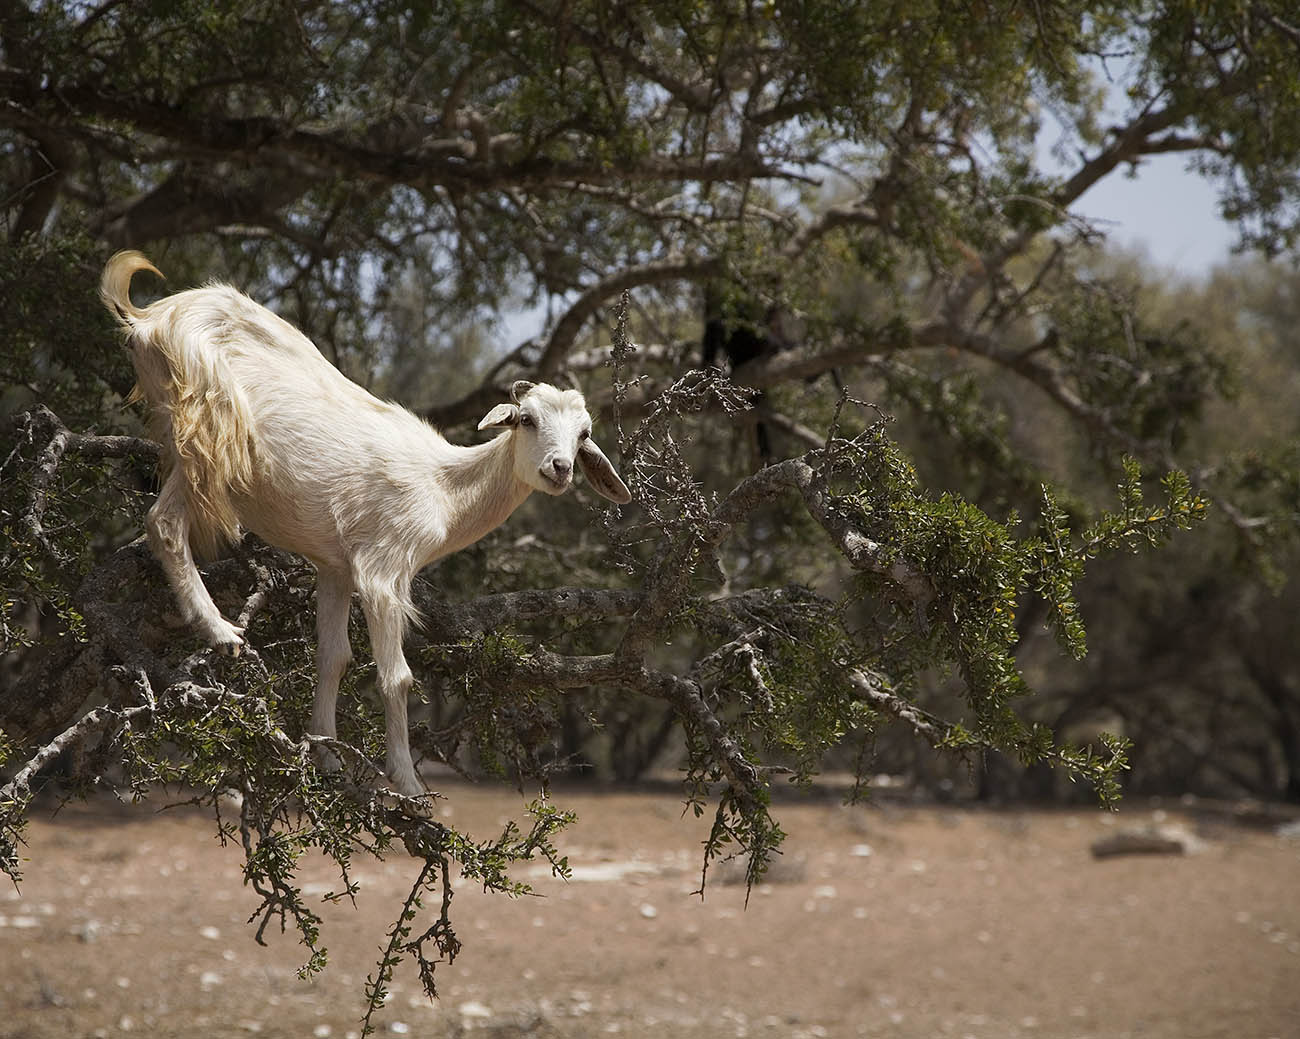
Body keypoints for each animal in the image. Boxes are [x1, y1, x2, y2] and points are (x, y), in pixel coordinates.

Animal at [98, 249, 631, 795]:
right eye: (526, 419)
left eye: (583, 433)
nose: (559, 468)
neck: (443, 488)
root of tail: (149, 317)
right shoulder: (383, 570)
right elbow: (396, 677)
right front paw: (407, 783)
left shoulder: (335, 566)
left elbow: (334, 657)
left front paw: (325, 756)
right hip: (210, 426)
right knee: (163, 521)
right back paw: (221, 632)